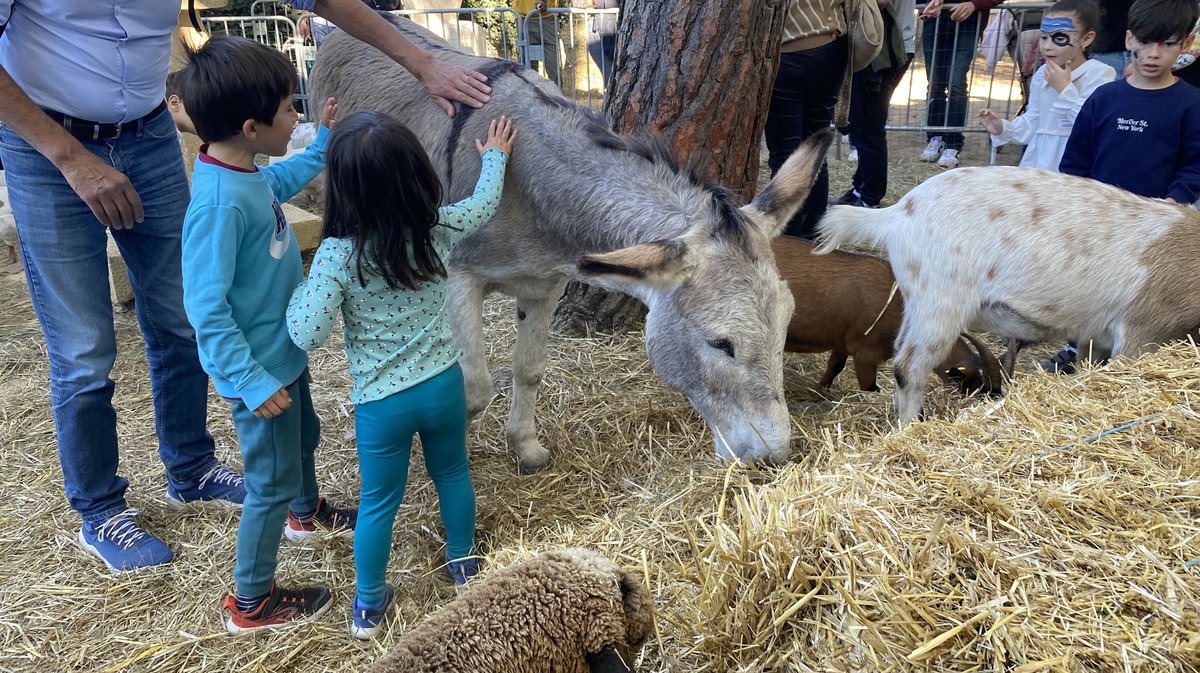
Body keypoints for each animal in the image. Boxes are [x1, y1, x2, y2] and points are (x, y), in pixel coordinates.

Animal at [768, 236, 1003, 393]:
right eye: (980, 387)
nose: (995, 396)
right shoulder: (865, 352)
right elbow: (870, 387)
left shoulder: (843, 342)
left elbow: (835, 367)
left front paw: (821, 389)